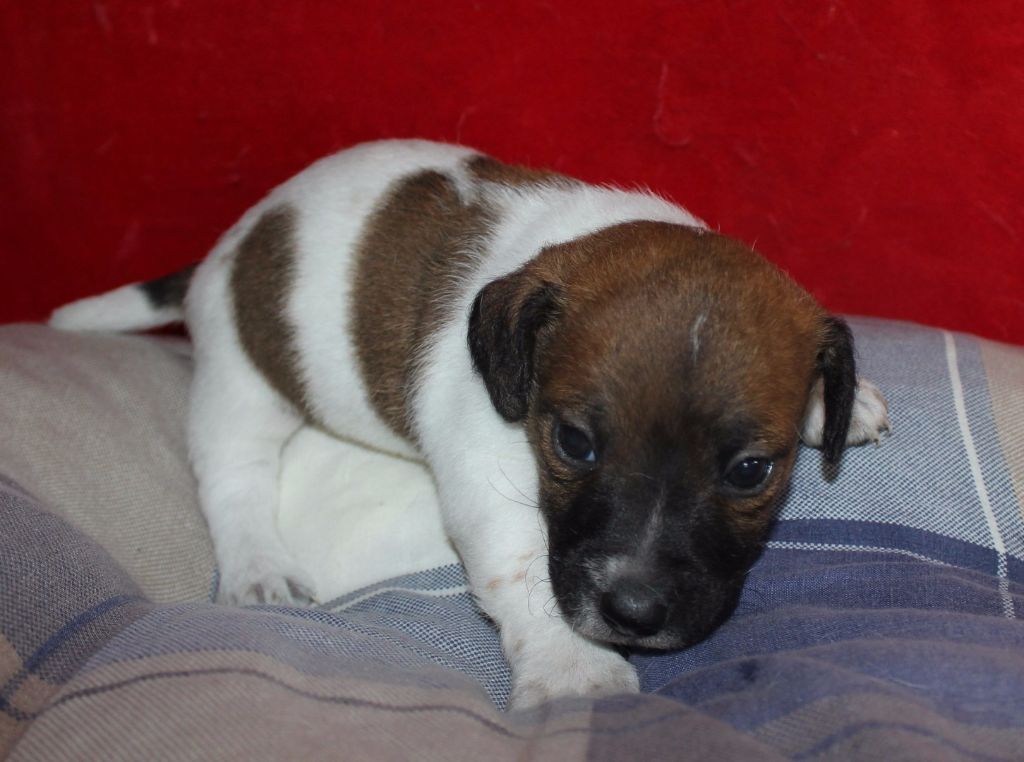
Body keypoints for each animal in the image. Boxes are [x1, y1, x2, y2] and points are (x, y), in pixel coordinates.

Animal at [51, 139, 889, 708]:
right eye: (574, 444)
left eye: (750, 471)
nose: (635, 611)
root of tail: (228, 246)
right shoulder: (489, 469)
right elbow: (519, 564)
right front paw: (569, 665)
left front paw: (837, 402)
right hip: (243, 380)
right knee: (233, 478)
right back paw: (257, 566)